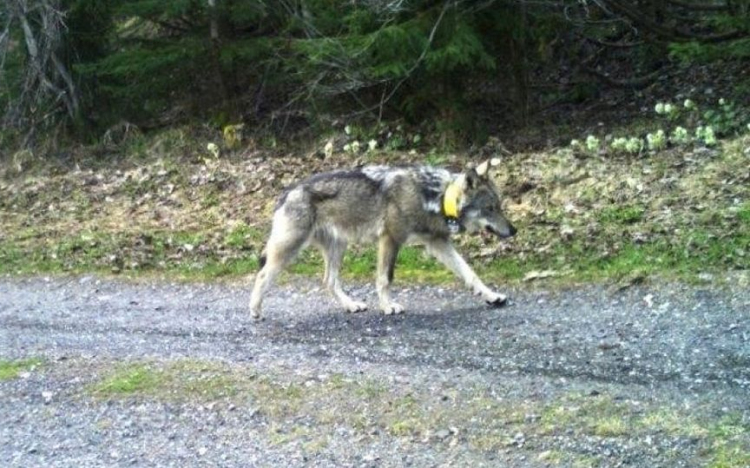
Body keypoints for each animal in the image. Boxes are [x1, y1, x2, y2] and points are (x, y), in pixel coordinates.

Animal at [251, 160, 516, 318]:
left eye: (500, 206)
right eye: (490, 208)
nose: (513, 231)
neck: (434, 197)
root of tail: (288, 191)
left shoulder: (438, 243)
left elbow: (470, 273)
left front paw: (492, 296)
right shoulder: (390, 239)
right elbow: (385, 279)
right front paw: (388, 306)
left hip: (338, 247)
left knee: (329, 281)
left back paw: (351, 305)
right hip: (290, 250)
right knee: (262, 275)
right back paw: (255, 310)